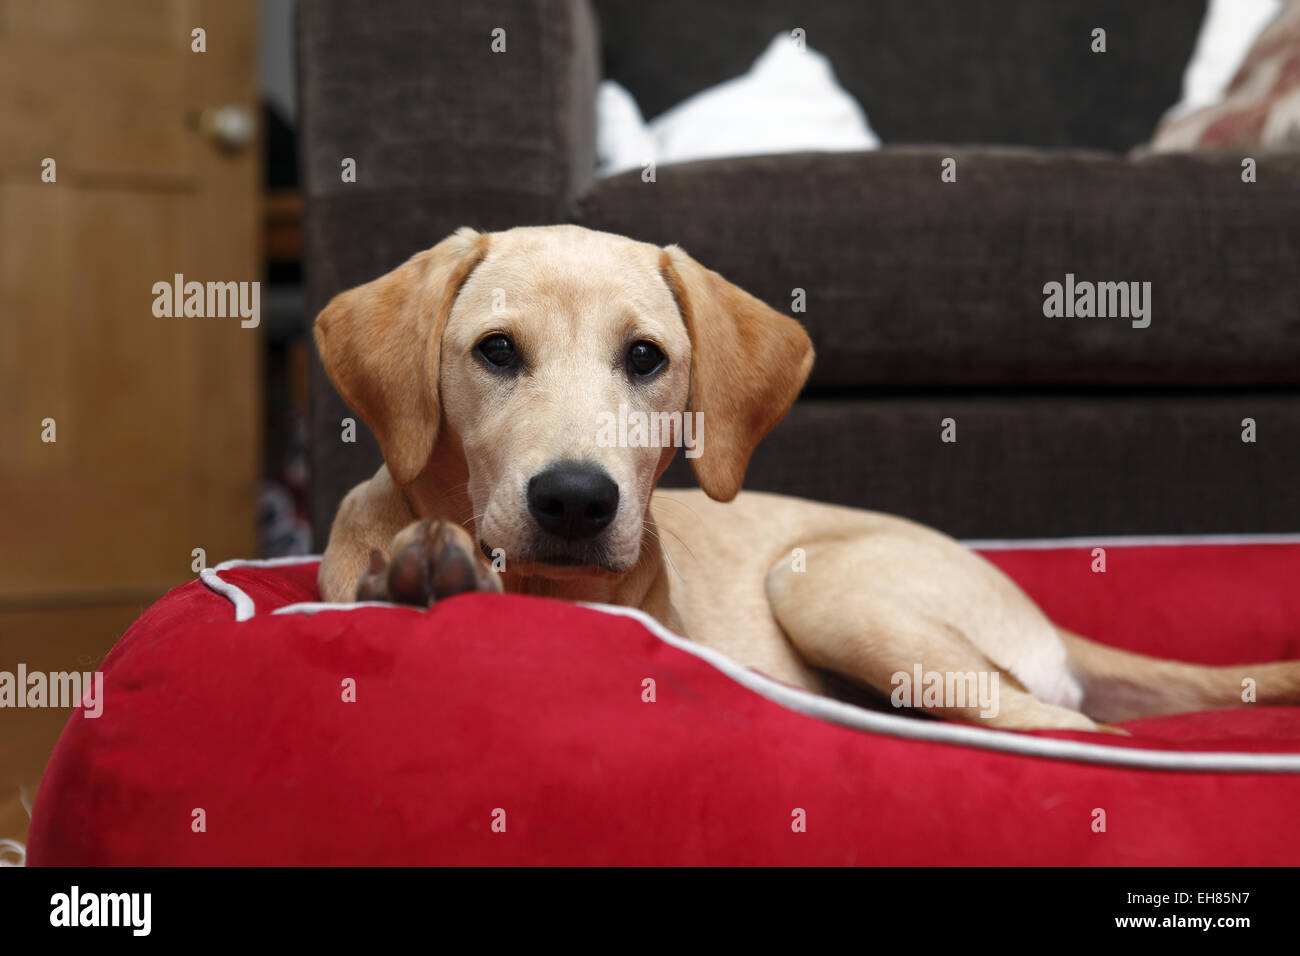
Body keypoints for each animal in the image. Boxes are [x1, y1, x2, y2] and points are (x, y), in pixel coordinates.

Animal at [317, 223, 1300, 733]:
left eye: (645, 358)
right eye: (495, 351)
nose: (576, 501)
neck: (544, 590)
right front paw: (423, 566)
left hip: (827, 589)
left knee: (1077, 733)